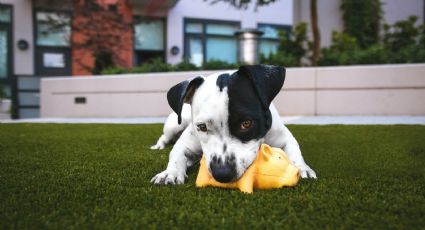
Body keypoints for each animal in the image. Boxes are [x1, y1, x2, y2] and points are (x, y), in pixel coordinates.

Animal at [150, 64, 314, 185]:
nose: (222, 173)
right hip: (174, 125)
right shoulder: (186, 144)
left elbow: (294, 151)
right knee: (164, 136)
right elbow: (176, 155)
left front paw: (302, 168)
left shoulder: (283, 137)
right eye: (202, 127)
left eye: (246, 123)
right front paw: (169, 173)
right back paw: (159, 146)